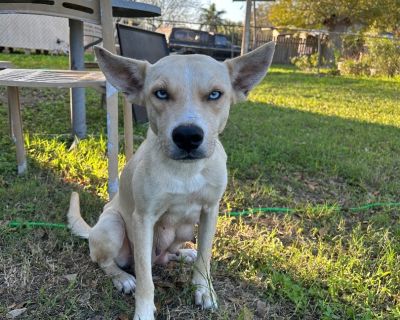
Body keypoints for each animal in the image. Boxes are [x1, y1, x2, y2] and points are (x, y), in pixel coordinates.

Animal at [68, 42, 276, 320]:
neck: (186, 171)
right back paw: (122, 278)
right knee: (106, 262)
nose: (188, 136)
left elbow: (205, 257)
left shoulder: (210, 211)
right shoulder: (143, 219)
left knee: (171, 254)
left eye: (215, 94)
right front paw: (144, 311)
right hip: (113, 226)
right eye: (161, 93)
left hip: (184, 231)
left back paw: (184, 253)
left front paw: (204, 291)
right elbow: (145, 278)